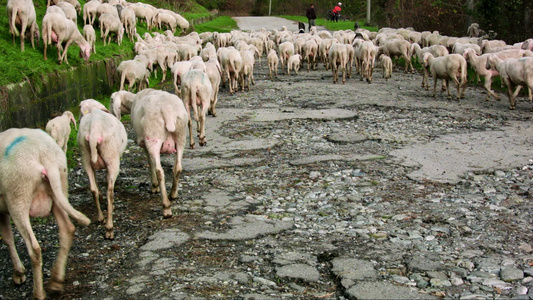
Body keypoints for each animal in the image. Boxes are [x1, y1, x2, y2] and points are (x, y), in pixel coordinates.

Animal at [0, 127, 89, 300]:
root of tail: (44, 154)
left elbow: (7, 238)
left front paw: (19, 272)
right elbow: (7, 237)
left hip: (17, 196)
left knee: (34, 248)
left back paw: (38, 293)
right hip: (59, 187)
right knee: (68, 229)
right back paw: (56, 281)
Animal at [77, 108, 127, 239]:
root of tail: (95, 127)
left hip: (85, 157)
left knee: (93, 188)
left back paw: (100, 218)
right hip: (112, 157)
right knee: (110, 191)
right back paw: (109, 229)